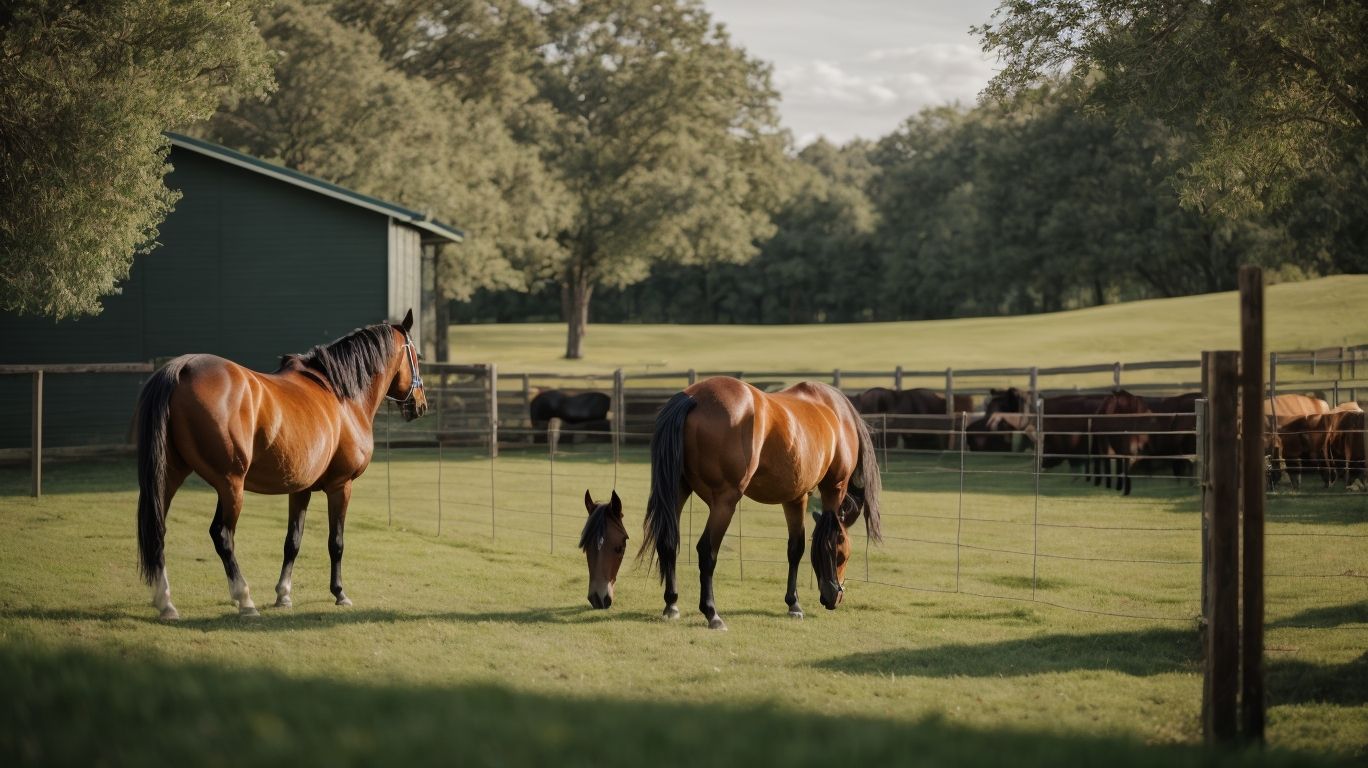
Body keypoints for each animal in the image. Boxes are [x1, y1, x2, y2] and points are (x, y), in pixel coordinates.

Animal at [134, 311, 427, 620]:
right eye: (417, 357)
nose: (420, 405)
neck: (342, 395)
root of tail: (183, 367)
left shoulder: (300, 489)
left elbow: (292, 541)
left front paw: (284, 595)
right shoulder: (341, 486)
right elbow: (336, 542)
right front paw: (339, 593)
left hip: (170, 476)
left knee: (158, 530)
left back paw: (166, 603)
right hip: (230, 484)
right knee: (222, 535)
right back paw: (244, 599)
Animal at [640, 377, 882, 630]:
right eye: (843, 555)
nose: (831, 597)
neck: (836, 414)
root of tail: (693, 397)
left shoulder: (795, 497)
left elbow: (795, 548)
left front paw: (793, 604)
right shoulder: (833, 488)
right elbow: (822, 538)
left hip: (679, 489)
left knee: (668, 542)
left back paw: (671, 604)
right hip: (724, 502)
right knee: (706, 551)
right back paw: (712, 613)